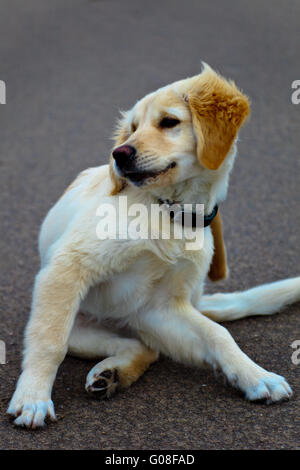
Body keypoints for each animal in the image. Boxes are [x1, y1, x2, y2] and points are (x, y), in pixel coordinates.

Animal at [7, 64, 300, 428]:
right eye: (132, 129)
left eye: (169, 122)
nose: (119, 155)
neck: (169, 210)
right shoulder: (66, 269)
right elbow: (50, 341)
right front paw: (33, 398)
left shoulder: (161, 307)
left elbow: (217, 334)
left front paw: (256, 376)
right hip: (81, 326)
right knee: (130, 345)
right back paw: (111, 374)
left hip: (144, 321)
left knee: (149, 347)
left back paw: (113, 374)